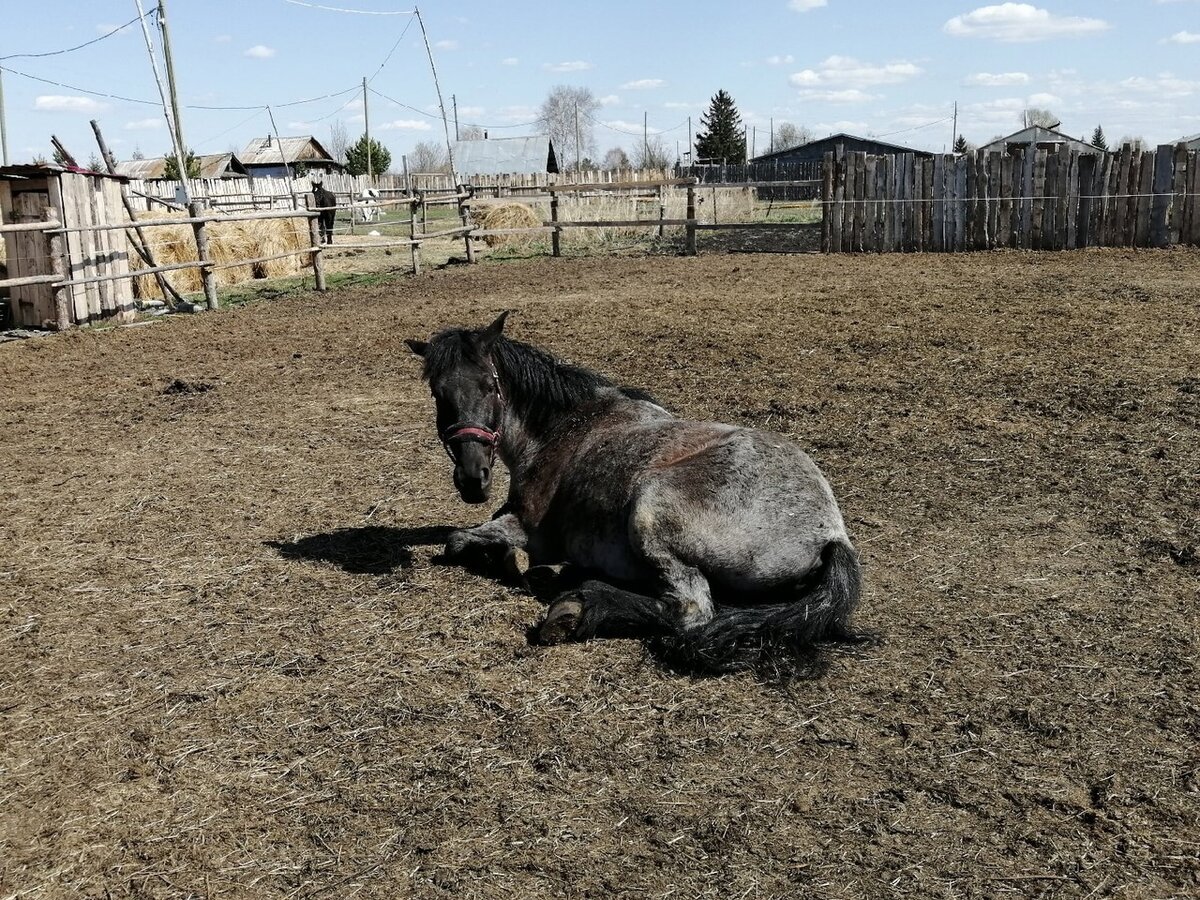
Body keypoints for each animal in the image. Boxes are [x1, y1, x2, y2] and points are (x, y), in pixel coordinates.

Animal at [408, 314, 868, 681]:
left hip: (650, 510)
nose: (472, 478)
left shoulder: (527, 526)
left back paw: (577, 604)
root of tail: (831, 534)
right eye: (438, 394)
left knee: (690, 610)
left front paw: (513, 561)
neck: (561, 428)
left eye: (490, 386)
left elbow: (458, 541)